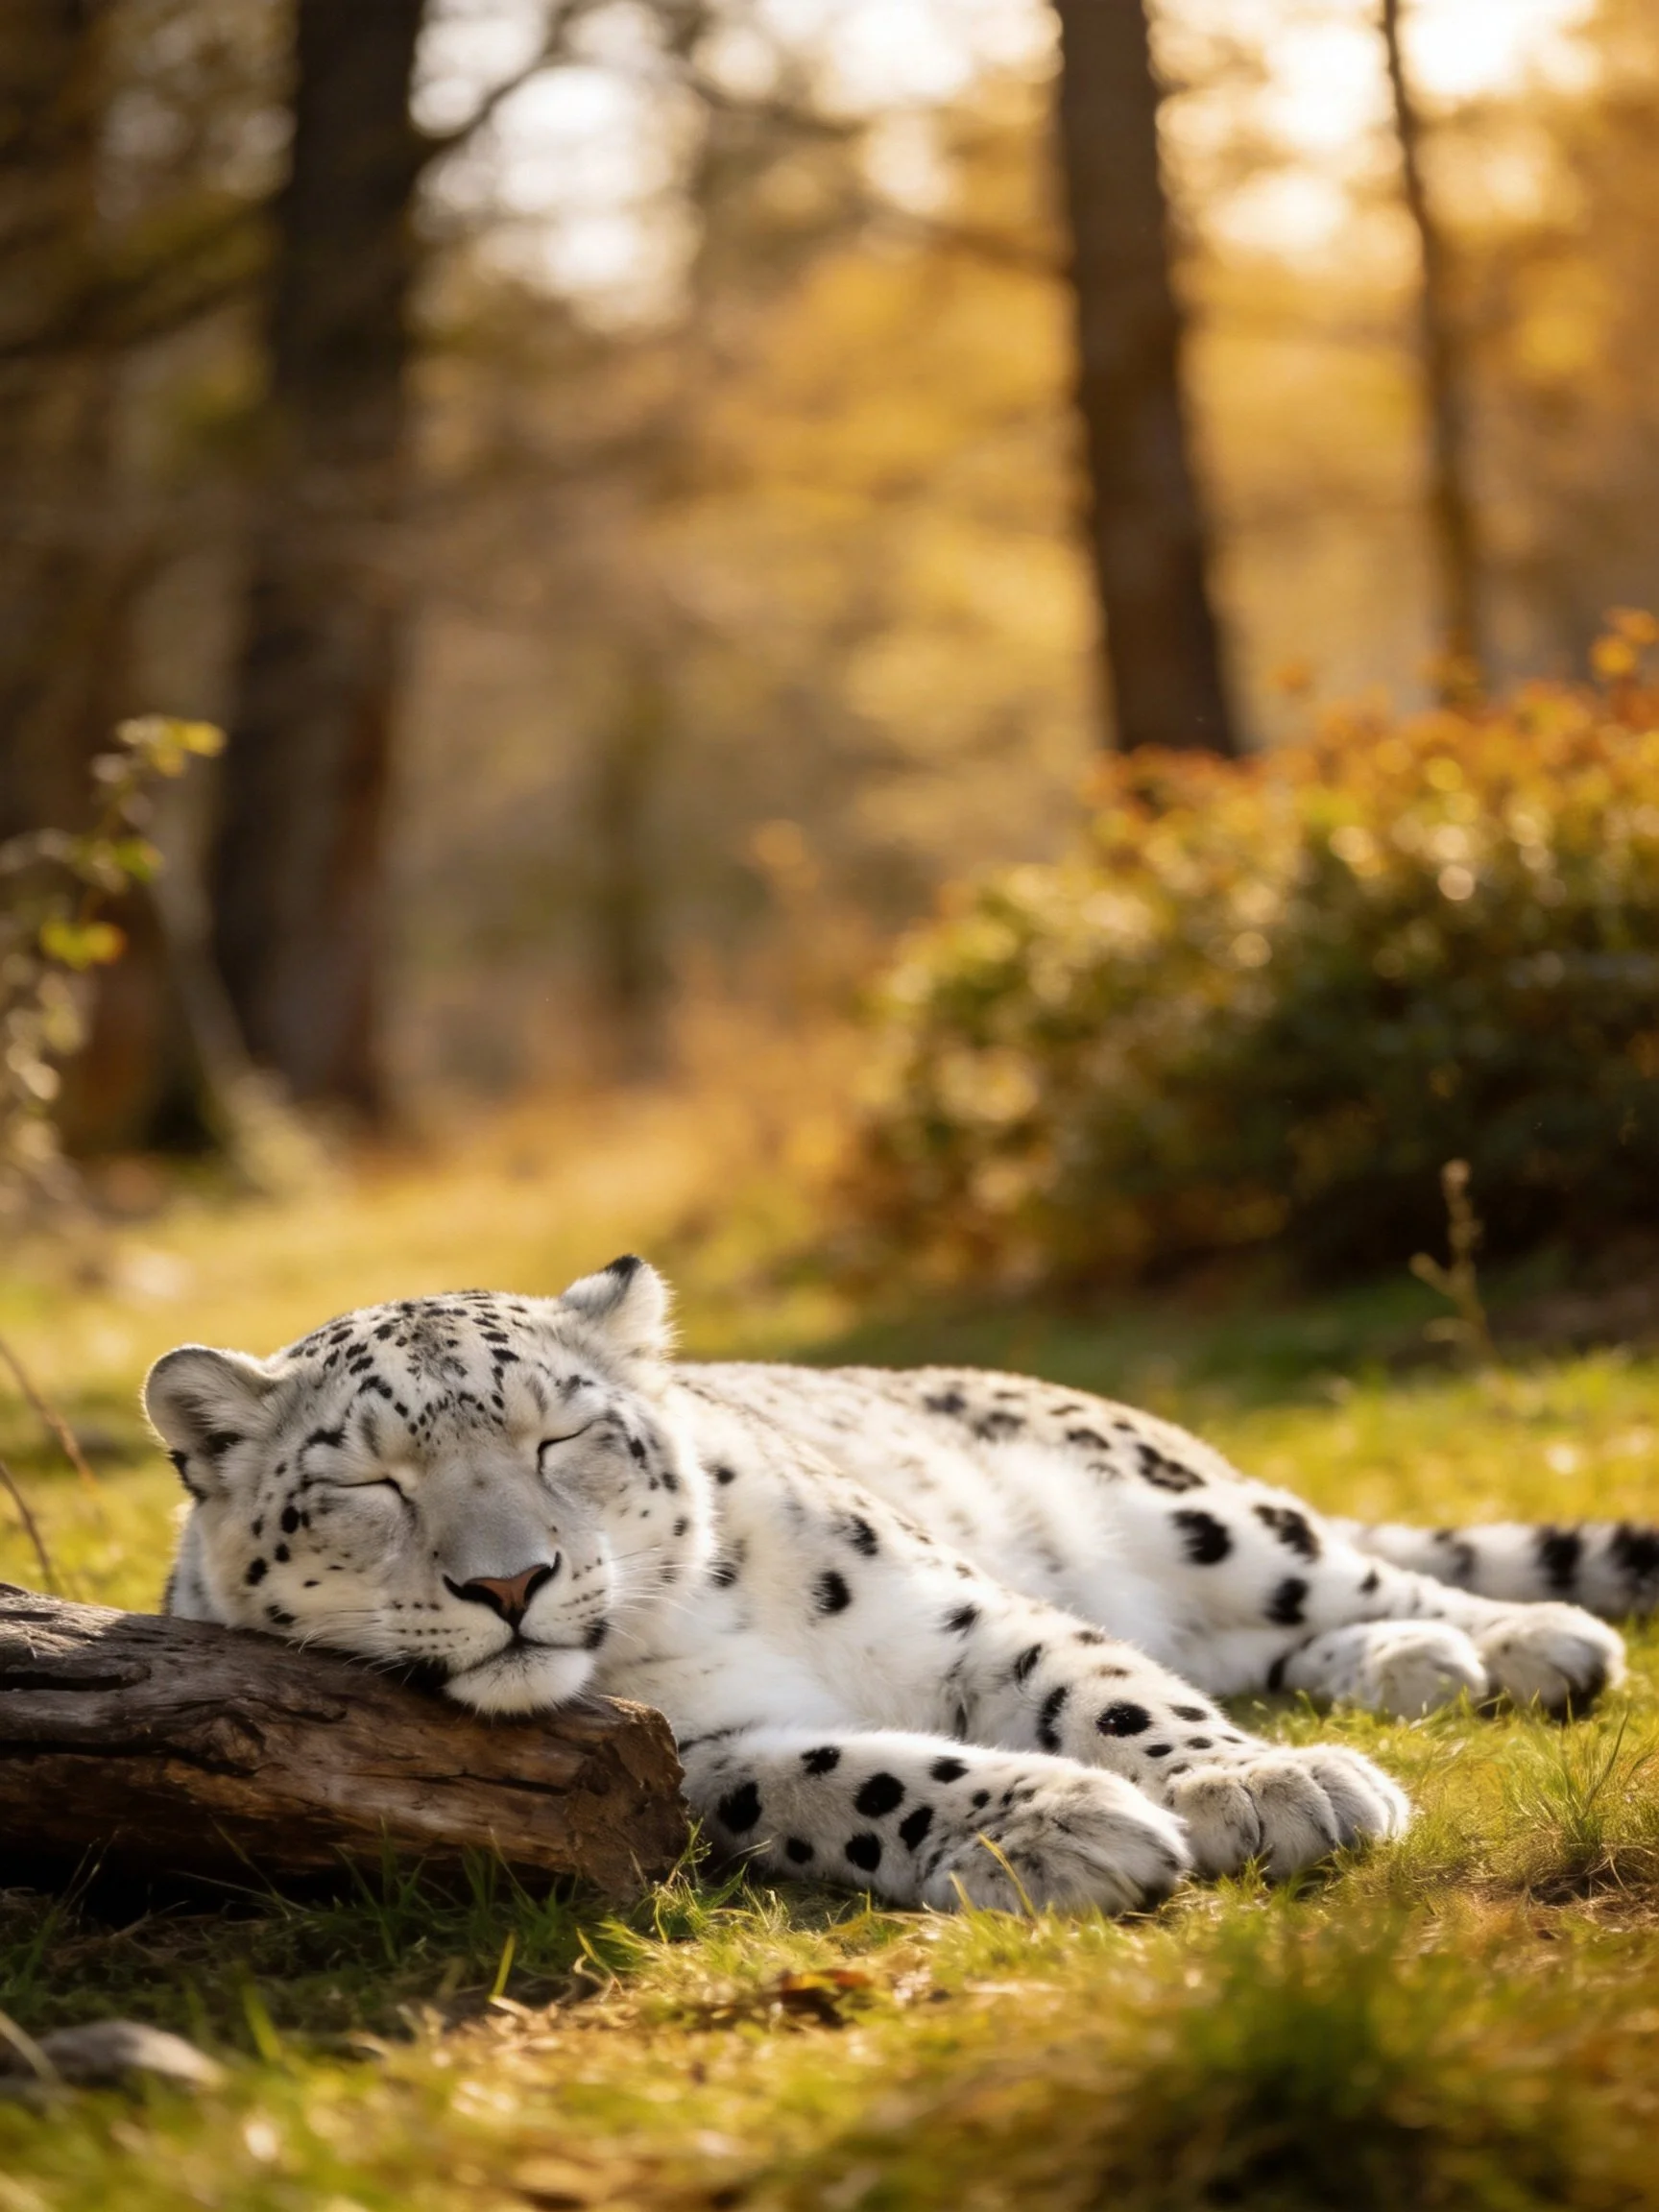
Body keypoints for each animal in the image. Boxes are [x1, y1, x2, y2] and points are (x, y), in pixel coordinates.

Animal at [144, 1256, 1656, 1915]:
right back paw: (1414, 1668)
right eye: (371, 1482)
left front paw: (1258, 1786)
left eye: (560, 1438)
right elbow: (855, 1775)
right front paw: (1069, 1832)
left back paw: (1527, 1641)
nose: (511, 1580)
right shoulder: (686, 1759)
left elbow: (1104, 1690)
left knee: (1336, 1574)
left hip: (1204, 1520)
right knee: (1257, 1642)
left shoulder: (961, 1614)